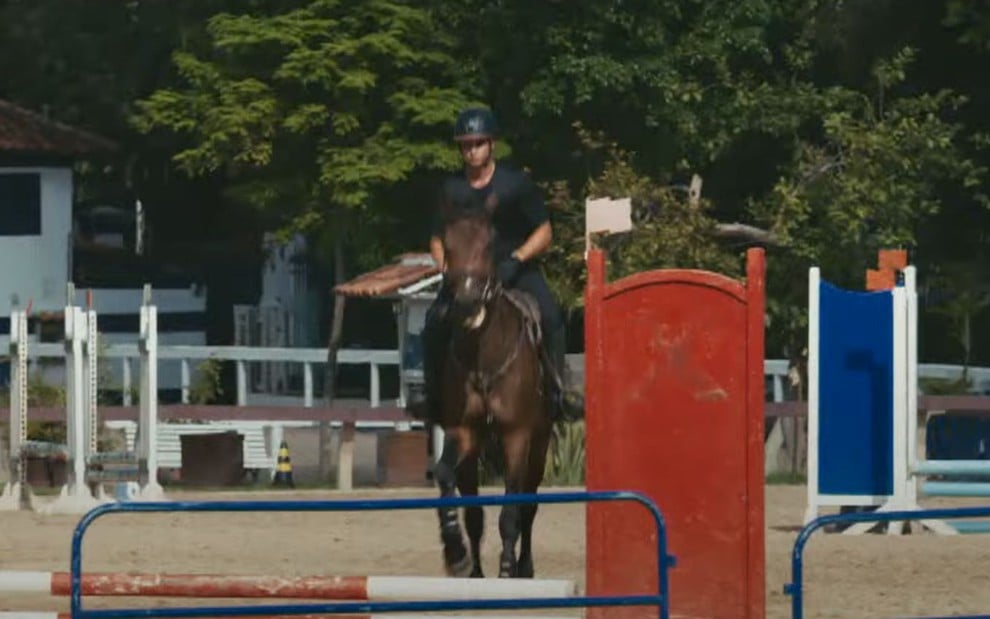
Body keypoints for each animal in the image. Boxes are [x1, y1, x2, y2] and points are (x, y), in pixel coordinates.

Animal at [434, 196, 560, 580]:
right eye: (448, 245)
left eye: (489, 244)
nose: (466, 303)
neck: (483, 359)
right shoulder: (463, 431)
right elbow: (451, 485)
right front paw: (458, 555)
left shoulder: (517, 435)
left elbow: (511, 511)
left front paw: (506, 569)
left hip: (539, 441)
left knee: (528, 505)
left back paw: (524, 567)